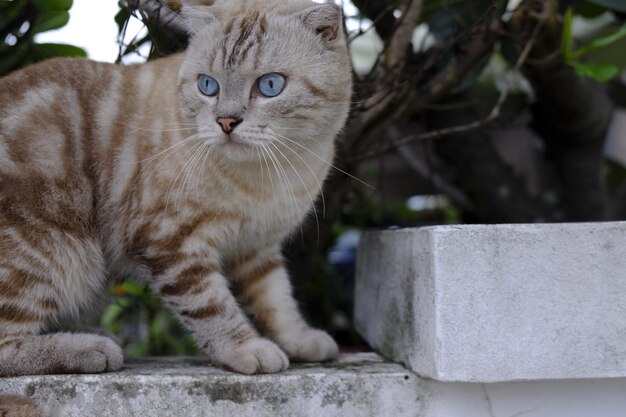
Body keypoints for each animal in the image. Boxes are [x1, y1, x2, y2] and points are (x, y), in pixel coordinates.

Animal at [0, 0, 352, 376]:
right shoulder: (172, 243)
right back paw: (89, 347)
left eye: (270, 85)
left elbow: (278, 302)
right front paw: (246, 348)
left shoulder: (258, 248)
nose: (226, 121)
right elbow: (212, 307)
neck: (273, 174)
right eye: (208, 86)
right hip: (57, 250)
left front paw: (301, 340)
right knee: (7, 345)